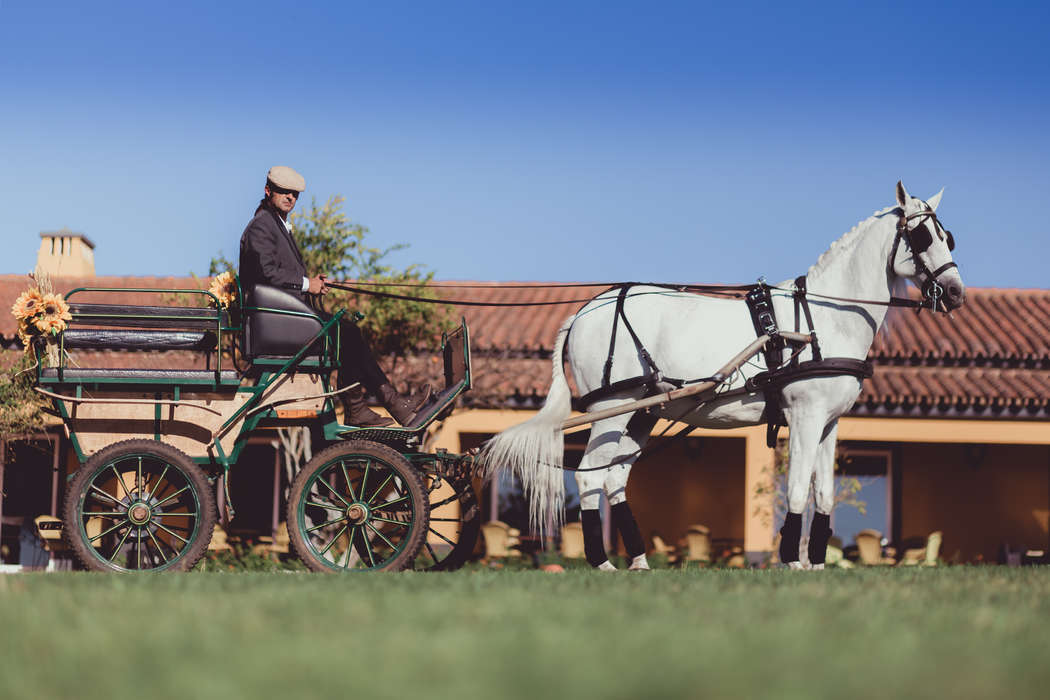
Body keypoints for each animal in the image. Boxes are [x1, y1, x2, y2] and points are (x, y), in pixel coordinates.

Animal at [480, 183, 961, 570]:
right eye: (922, 236)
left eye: (947, 237)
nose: (956, 294)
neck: (821, 319)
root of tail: (584, 311)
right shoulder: (804, 418)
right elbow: (797, 490)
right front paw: (792, 561)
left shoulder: (829, 424)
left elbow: (823, 493)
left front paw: (819, 563)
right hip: (610, 409)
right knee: (588, 478)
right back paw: (602, 563)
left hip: (640, 415)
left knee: (614, 480)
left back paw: (638, 562)